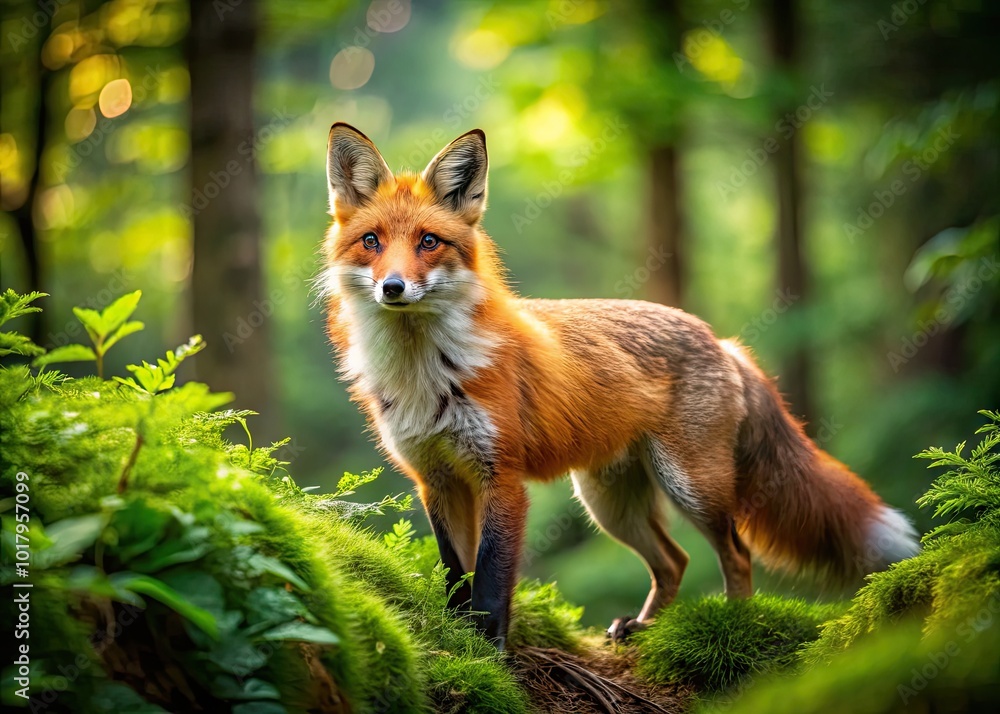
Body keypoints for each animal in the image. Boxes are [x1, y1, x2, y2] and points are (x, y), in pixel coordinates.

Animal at [319, 123, 920, 651]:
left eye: (428, 242)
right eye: (372, 242)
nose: (393, 287)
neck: (426, 373)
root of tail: (720, 339)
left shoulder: (501, 478)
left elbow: (490, 582)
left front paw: (488, 654)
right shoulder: (437, 480)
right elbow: (455, 576)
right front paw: (455, 639)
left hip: (691, 486)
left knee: (736, 553)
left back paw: (734, 625)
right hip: (610, 503)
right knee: (674, 561)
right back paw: (643, 628)